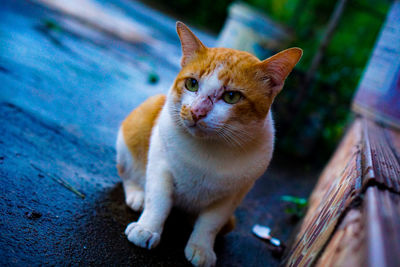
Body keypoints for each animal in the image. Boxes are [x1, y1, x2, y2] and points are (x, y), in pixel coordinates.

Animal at [117, 22, 302, 266]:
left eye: (232, 97)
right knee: (127, 173)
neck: (209, 150)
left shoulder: (234, 194)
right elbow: (159, 200)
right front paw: (147, 228)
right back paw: (137, 194)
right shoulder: (160, 165)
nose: (197, 112)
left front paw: (201, 247)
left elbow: (211, 223)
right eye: (192, 84)